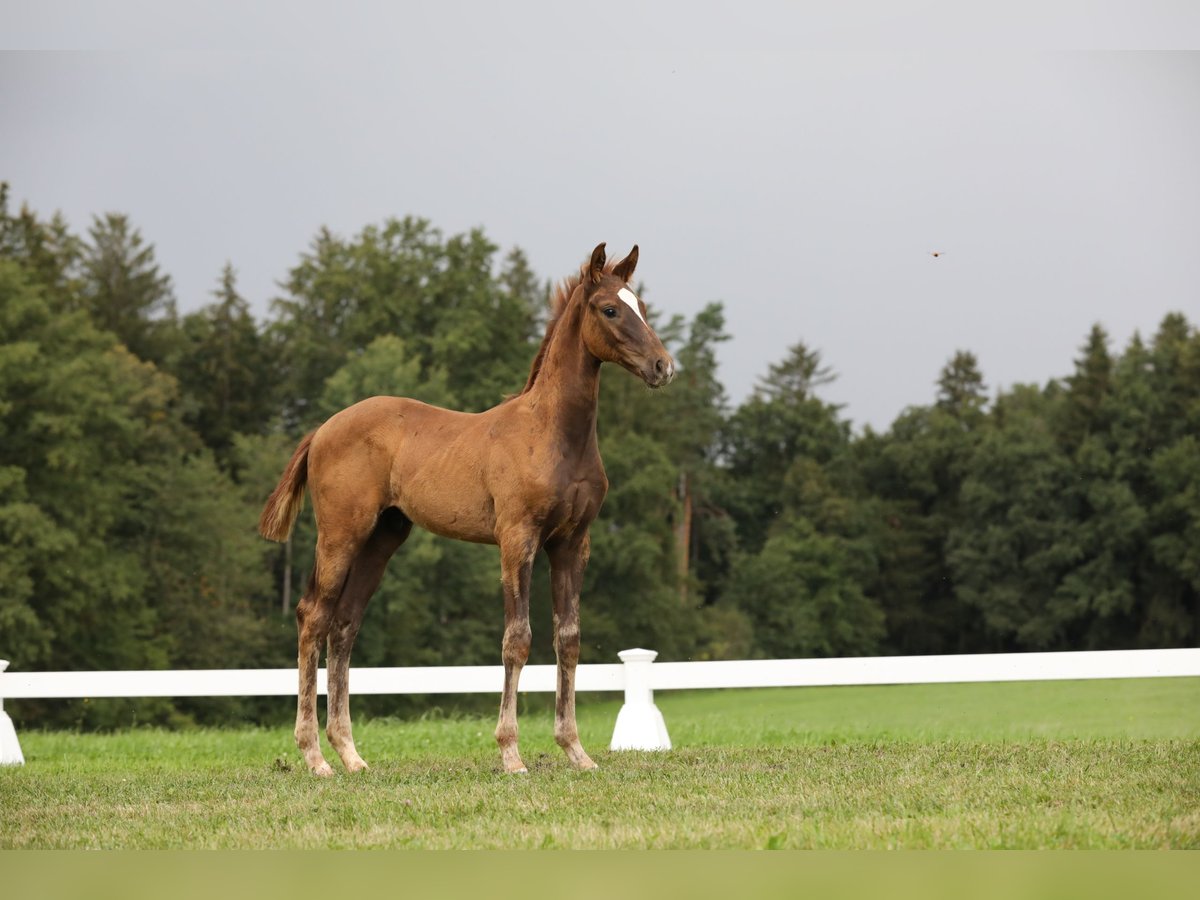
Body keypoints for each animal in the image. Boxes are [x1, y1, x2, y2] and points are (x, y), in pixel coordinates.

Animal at [260, 244, 676, 777]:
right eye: (609, 309)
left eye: (638, 303)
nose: (663, 366)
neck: (554, 433)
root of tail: (323, 429)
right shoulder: (517, 538)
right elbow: (517, 638)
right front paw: (511, 753)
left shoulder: (571, 542)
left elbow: (568, 638)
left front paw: (576, 751)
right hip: (340, 534)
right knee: (313, 616)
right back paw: (315, 757)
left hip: (383, 537)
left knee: (344, 625)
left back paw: (350, 754)